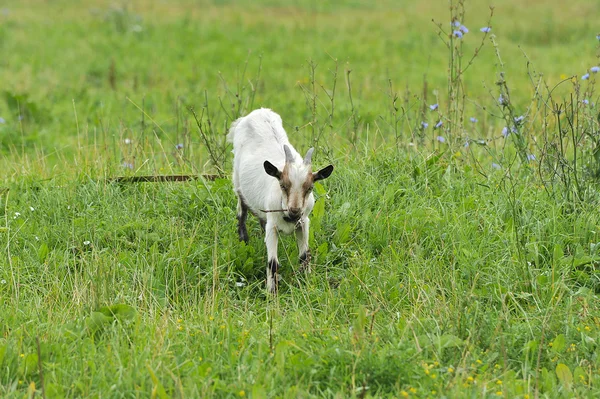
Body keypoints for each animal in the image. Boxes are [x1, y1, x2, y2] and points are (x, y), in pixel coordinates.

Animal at [227, 109, 336, 294]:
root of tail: (257, 112)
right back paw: (244, 241)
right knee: (242, 211)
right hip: (237, 182)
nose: (294, 211)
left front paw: (306, 282)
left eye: (310, 188)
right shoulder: (273, 227)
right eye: (283, 185)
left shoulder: (303, 223)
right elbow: (273, 263)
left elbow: (305, 256)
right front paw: (272, 293)